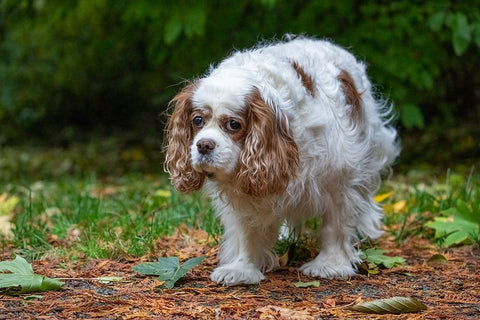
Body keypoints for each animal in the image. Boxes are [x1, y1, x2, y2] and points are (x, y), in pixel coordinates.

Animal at [163, 35, 400, 284]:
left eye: (234, 124)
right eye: (197, 120)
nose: (204, 145)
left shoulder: (338, 177)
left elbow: (335, 226)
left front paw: (330, 264)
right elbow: (246, 231)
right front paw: (241, 268)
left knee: (366, 194)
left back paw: (367, 228)